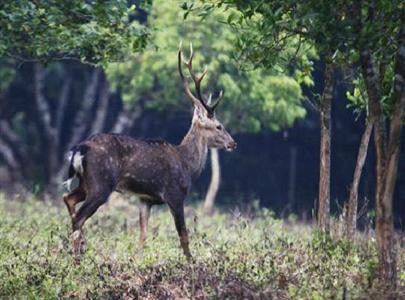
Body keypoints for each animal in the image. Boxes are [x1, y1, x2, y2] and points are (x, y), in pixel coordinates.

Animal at [61, 43, 235, 262]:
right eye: (219, 126)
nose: (233, 143)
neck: (187, 164)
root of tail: (79, 149)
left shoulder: (145, 200)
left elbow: (143, 236)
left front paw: (137, 261)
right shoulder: (174, 194)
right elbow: (184, 236)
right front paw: (192, 263)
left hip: (87, 182)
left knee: (68, 198)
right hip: (101, 183)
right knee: (79, 217)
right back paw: (77, 259)